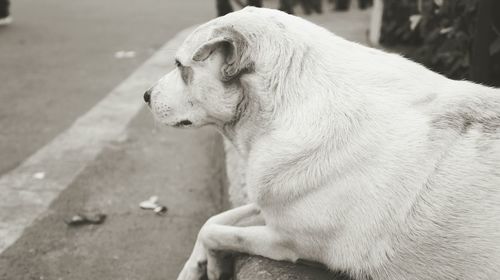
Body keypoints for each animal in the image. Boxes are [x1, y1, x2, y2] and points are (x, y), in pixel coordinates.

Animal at [145, 6, 500, 280]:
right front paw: (196, 267)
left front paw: (214, 264)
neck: (289, 108)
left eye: (180, 66)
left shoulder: (286, 241)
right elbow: (213, 220)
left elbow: (216, 230)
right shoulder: (273, 208)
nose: (146, 95)